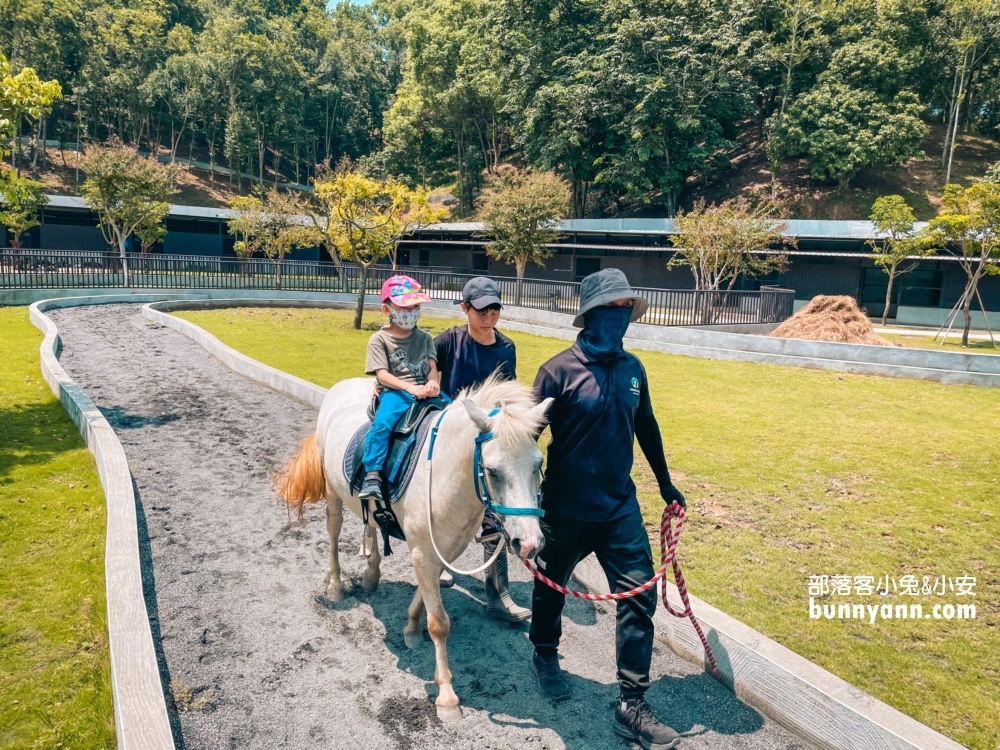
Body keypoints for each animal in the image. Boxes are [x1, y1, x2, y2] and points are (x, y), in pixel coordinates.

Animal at [278, 376, 552, 724]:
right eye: (492, 471)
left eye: (538, 464)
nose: (529, 542)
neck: (447, 476)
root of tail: (342, 385)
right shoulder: (423, 551)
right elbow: (439, 623)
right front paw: (446, 696)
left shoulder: (444, 549)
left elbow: (425, 594)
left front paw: (410, 627)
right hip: (333, 493)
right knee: (333, 531)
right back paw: (336, 586)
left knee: (370, 523)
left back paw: (371, 573)